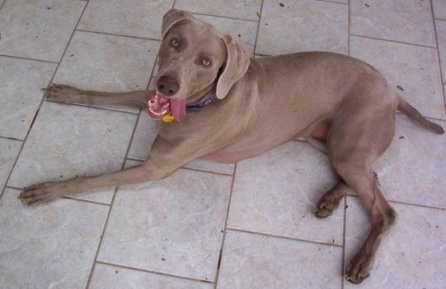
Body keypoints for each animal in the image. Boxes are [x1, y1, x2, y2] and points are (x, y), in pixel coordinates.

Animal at [19, 9, 444, 284]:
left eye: (207, 62)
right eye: (174, 42)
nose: (167, 85)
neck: (202, 103)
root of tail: (392, 92)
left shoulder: (155, 167)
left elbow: (90, 180)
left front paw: (47, 189)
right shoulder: (150, 99)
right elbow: (109, 95)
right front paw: (68, 93)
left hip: (348, 140)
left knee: (385, 209)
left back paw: (360, 261)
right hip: (322, 137)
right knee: (369, 177)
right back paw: (329, 199)